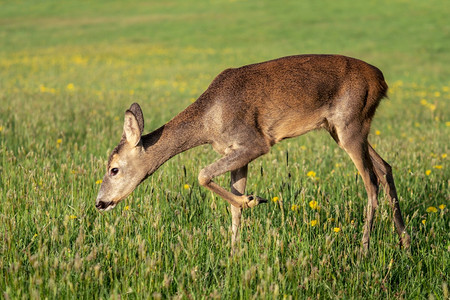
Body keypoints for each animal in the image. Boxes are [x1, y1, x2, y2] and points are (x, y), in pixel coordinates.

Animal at [95, 54, 412, 253]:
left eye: (114, 169)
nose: (99, 203)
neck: (209, 121)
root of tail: (381, 81)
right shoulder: (235, 150)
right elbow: (231, 203)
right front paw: (234, 252)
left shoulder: (255, 142)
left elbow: (202, 174)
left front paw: (253, 200)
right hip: (343, 127)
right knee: (385, 168)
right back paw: (406, 243)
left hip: (350, 123)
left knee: (371, 182)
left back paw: (364, 251)